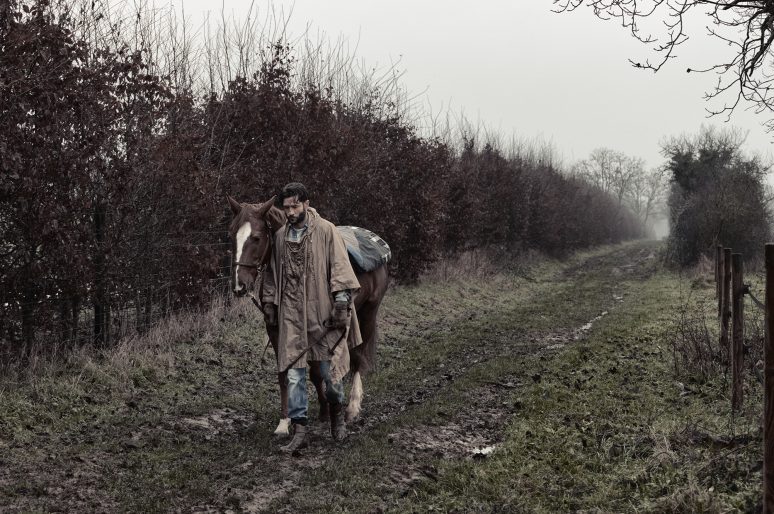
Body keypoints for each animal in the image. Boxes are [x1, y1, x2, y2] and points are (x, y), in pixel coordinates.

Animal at [227, 194, 392, 434]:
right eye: (232, 236)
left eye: (256, 237)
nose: (239, 286)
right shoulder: (277, 329)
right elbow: (292, 373)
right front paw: (287, 421)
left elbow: (320, 369)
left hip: (367, 313)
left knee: (359, 357)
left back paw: (352, 407)